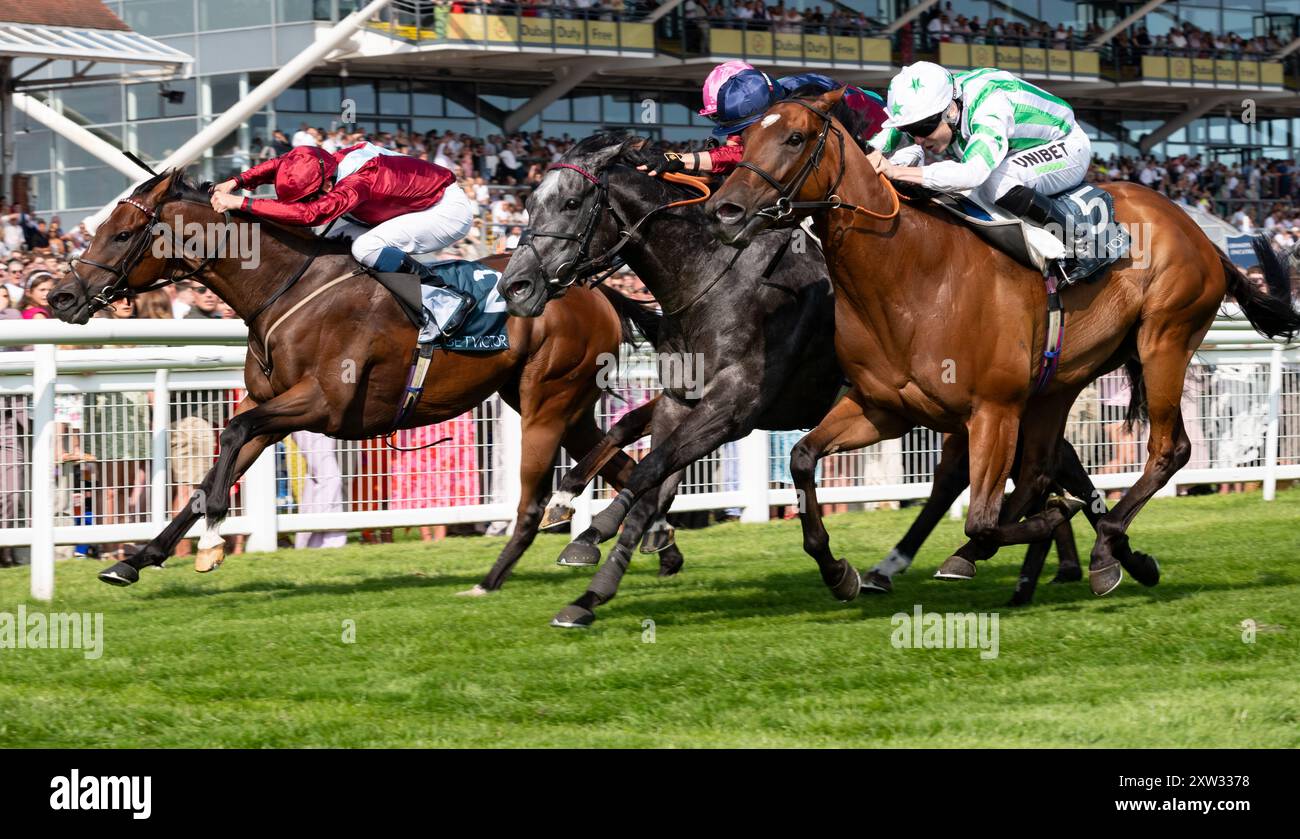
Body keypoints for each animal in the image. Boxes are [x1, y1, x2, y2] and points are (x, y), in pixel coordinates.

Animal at [48, 169, 660, 587]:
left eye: (123, 234)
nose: (61, 296)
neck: (286, 289)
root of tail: (592, 286)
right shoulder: (272, 408)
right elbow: (216, 465)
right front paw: (135, 559)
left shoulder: (326, 404)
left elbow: (232, 437)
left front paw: (213, 541)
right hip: (558, 404)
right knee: (619, 460)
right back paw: (651, 544)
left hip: (549, 398)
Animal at [712, 88, 1300, 598]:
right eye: (744, 140)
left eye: (794, 138)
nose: (725, 210)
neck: (910, 273)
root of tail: (1200, 232)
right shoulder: (885, 408)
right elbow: (803, 457)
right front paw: (839, 571)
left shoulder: (992, 410)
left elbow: (983, 517)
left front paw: (1049, 525)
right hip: (1063, 380)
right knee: (1041, 468)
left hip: (1165, 341)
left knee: (1167, 449)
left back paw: (1103, 549)